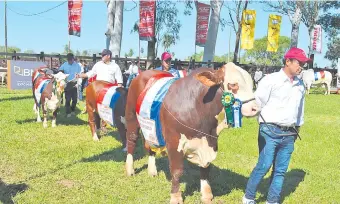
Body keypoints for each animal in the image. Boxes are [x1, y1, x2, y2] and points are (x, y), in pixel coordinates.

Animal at [125, 62, 260, 204]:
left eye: (251, 84)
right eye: (233, 84)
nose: (255, 108)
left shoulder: (211, 141)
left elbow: (205, 169)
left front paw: (206, 194)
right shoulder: (174, 141)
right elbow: (177, 170)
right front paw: (176, 196)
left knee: (150, 145)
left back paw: (152, 171)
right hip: (131, 117)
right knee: (131, 140)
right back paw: (130, 169)